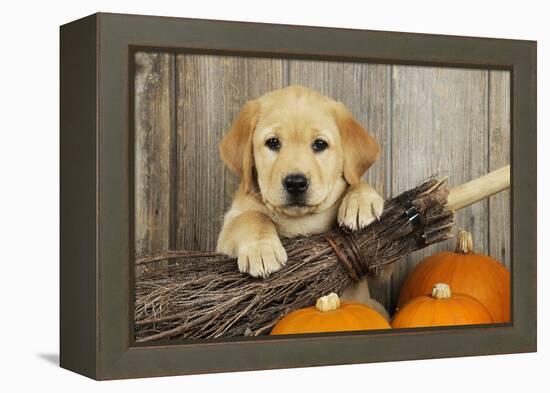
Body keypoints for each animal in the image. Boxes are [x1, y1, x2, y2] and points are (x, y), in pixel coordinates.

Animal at [218, 85, 390, 316]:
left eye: (319, 144)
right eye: (273, 142)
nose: (295, 183)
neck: (301, 219)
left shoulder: (379, 263)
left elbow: (355, 182)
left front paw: (360, 201)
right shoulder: (224, 236)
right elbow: (252, 217)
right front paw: (261, 249)